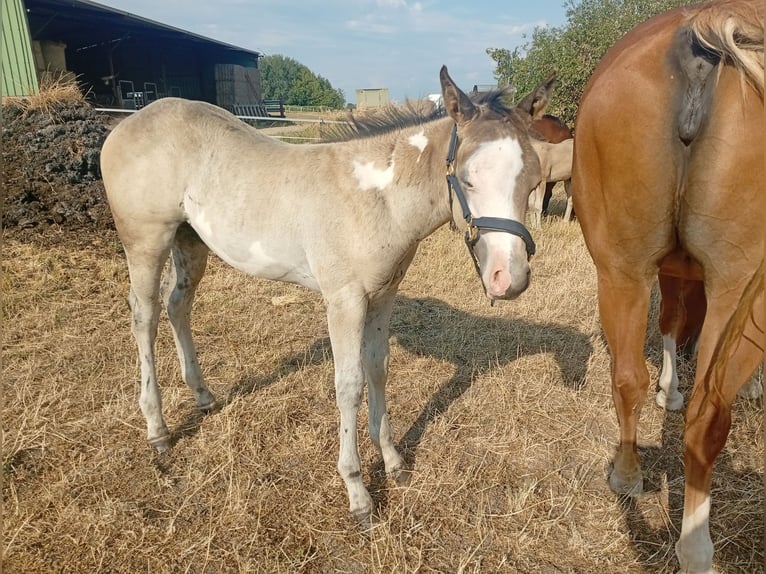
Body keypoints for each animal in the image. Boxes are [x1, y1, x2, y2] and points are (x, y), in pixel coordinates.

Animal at [101, 66, 554, 528]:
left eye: (533, 180)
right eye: (467, 178)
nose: (508, 278)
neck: (376, 199)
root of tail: (125, 125)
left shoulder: (384, 296)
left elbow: (378, 370)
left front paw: (393, 462)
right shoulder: (345, 301)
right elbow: (349, 385)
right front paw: (358, 494)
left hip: (189, 240)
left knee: (178, 305)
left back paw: (203, 396)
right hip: (146, 242)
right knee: (144, 317)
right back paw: (157, 432)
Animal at [571, 1, 763, 572]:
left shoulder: (671, 269)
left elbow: (672, 324)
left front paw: (668, 389)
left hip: (623, 271)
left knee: (632, 379)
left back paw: (630, 478)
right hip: (736, 285)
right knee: (708, 411)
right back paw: (694, 544)